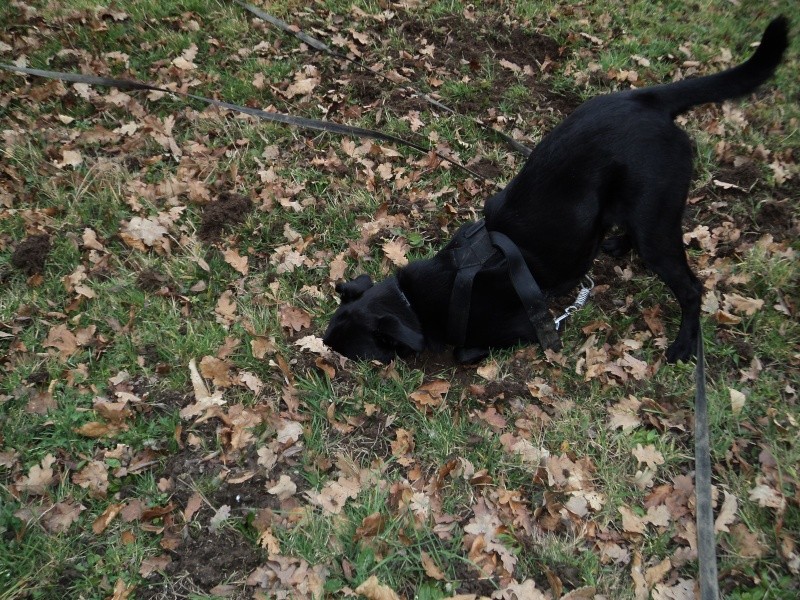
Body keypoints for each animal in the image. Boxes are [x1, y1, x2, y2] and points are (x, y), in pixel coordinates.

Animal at [324, 17, 788, 366]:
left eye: (353, 354)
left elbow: (464, 352)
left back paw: (684, 343)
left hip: (656, 221)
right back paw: (615, 245)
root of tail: (646, 100)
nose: (323, 349)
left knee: (691, 289)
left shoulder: (526, 326)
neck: (414, 302)